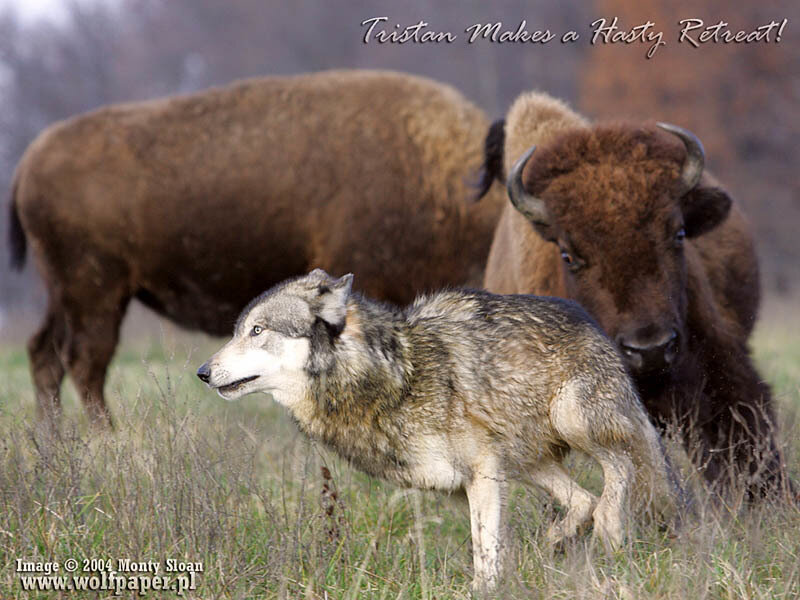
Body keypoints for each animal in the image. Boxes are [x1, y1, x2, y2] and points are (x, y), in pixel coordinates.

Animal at [8, 69, 505, 427]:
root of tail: (28, 162)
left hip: (69, 293)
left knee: (45, 353)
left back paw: (54, 440)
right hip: (95, 291)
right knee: (84, 360)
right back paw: (105, 437)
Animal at [197, 269, 680, 591]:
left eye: (257, 330)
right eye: (238, 331)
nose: (202, 372)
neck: (392, 375)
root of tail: (593, 325)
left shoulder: (482, 474)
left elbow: (485, 551)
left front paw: (486, 591)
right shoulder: (469, 480)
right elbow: (486, 545)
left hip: (571, 419)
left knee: (619, 468)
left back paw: (610, 529)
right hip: (526, 464)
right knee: (583, 499)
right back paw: (557, 539)